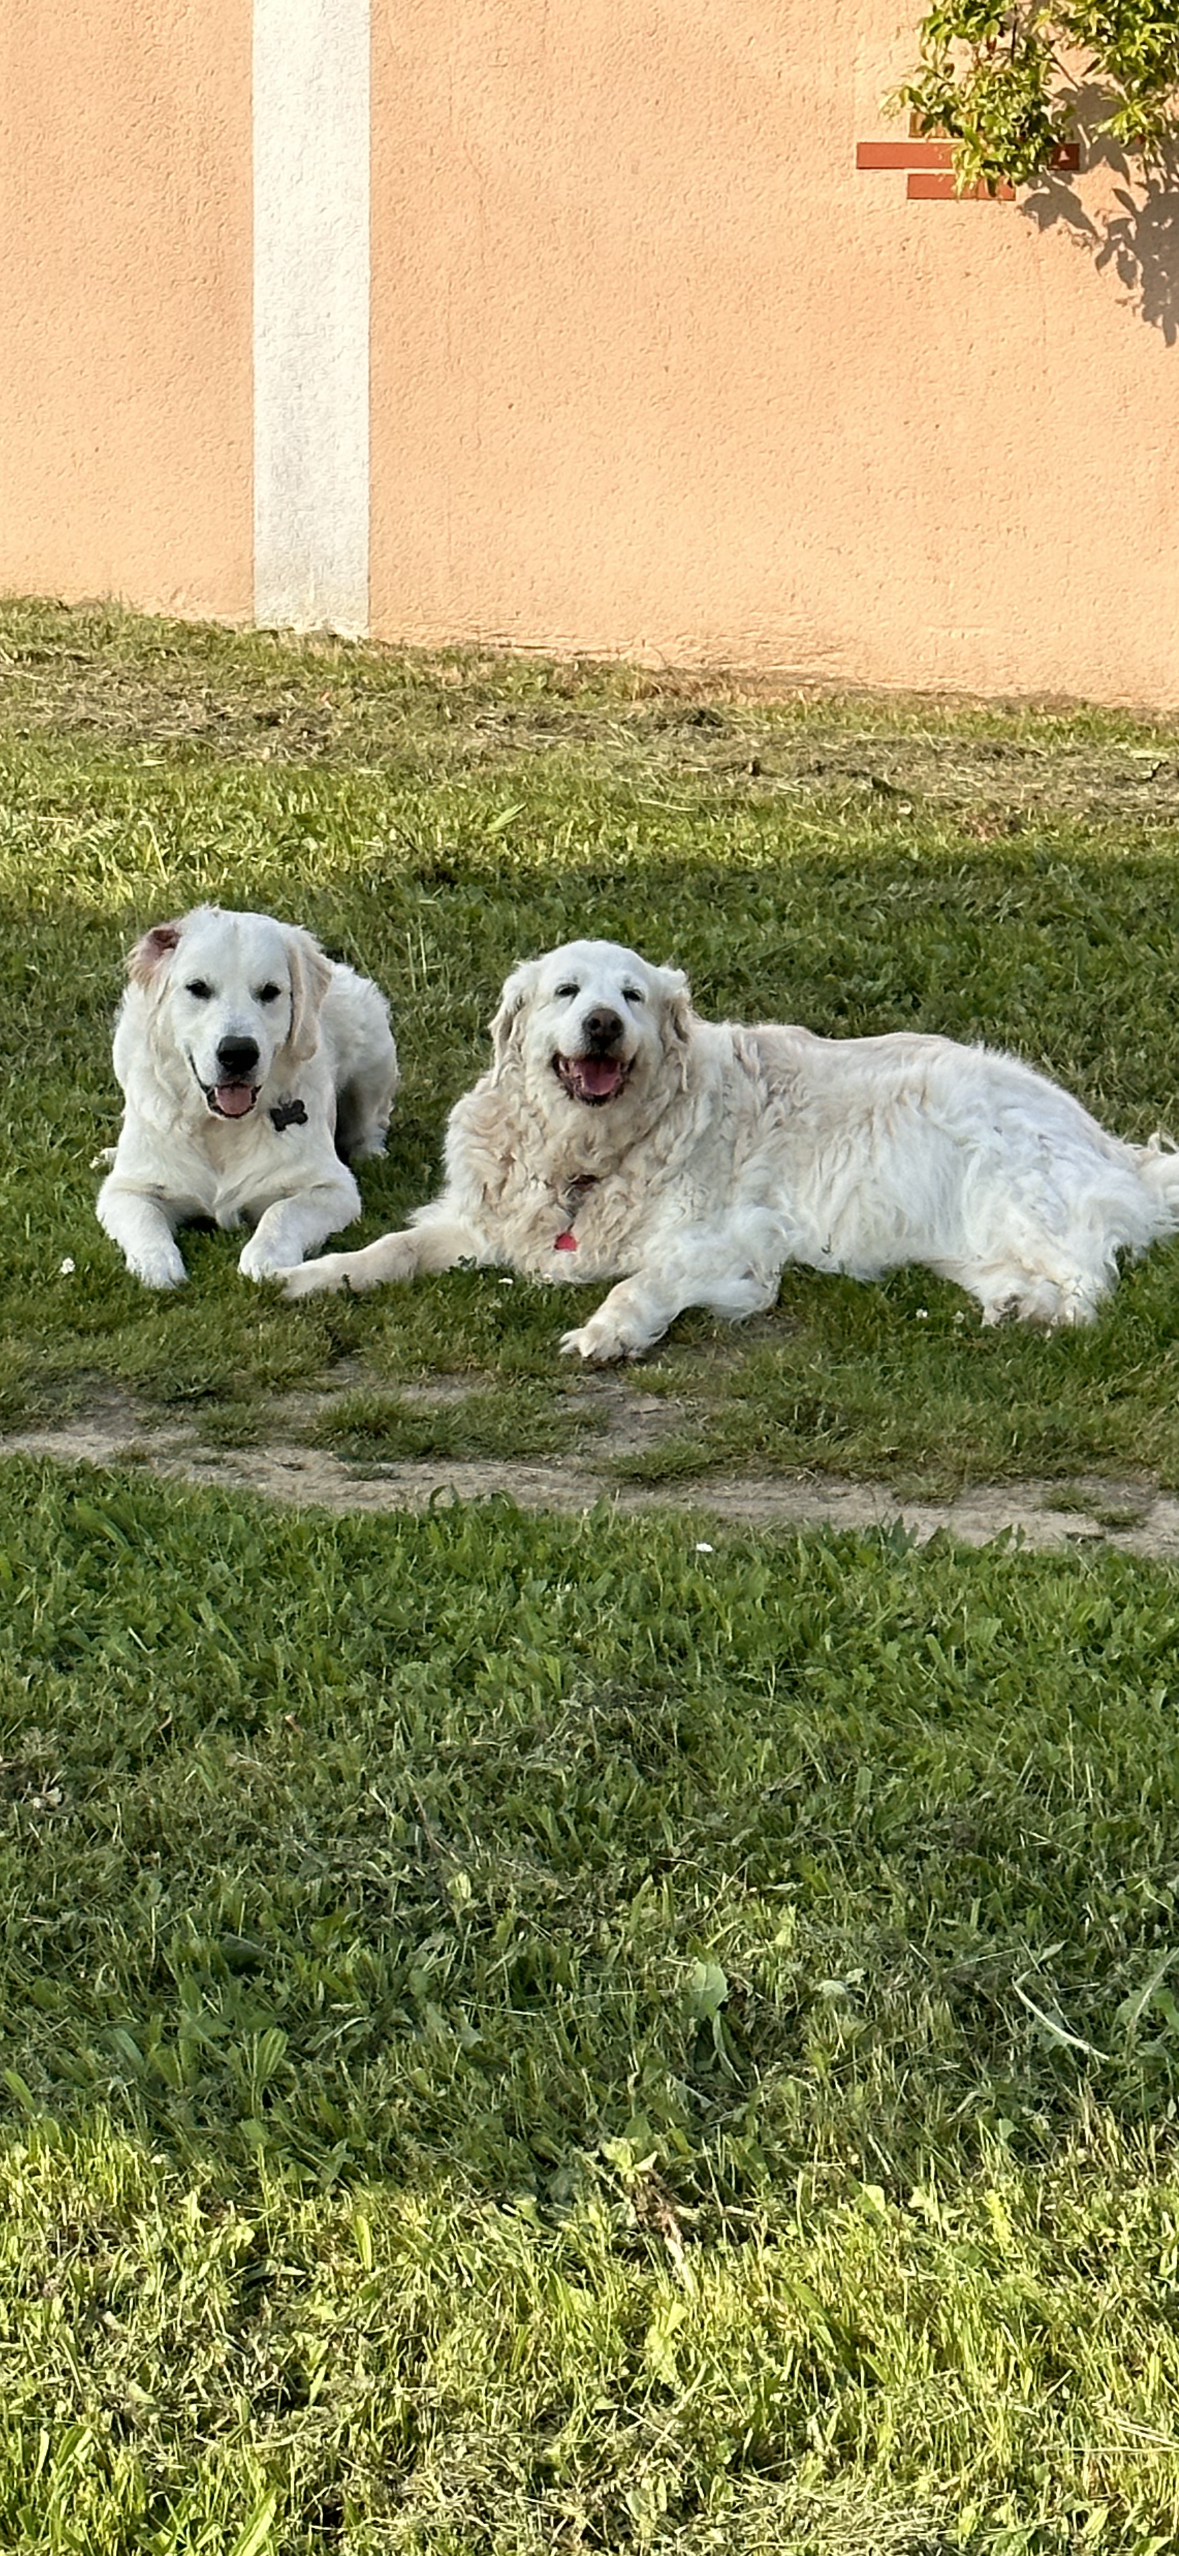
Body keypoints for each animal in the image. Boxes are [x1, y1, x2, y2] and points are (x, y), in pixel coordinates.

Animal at [97, 905, 399, 1287]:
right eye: (198, 988)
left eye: (270, 992)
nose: (238, 1053)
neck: (219, 1128)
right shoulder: (125, 1190)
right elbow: (143, 1218)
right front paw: (158, 1265)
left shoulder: (333, 1188)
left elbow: (282, 1212)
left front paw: (264, 1257)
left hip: (373, 1049)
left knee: (370, 1122)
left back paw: (371, 1152)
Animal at [278, 935, 1179, 1361]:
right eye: (568, 991)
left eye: (632, 996)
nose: (602, 1024)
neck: (591, 1152)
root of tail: (1110, 1145)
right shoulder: (479, 1221)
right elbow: (392, 1247)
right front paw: (313, 1276)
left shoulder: (731, 1243)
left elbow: (641, 1281)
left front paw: (607, 1334)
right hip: (961, 1238)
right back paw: (1014, 1307)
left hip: (1008, 1186)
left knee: (1090, 1283)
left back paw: (1044, 1316)